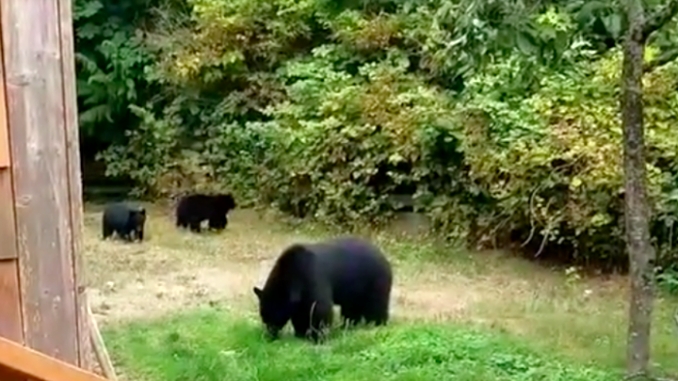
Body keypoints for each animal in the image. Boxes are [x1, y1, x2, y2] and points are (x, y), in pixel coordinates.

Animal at [254, 236, 394, 342]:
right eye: (264, 317)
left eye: (274, 316)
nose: (270, 335)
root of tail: (384, 257)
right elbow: (301, 311)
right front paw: (301, 333)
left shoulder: (313, 276)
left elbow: (319, 308)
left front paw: (318, 336)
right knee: (352, 309)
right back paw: (348, 326)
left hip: (375, 281)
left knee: (376, 306)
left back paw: (376, 325)